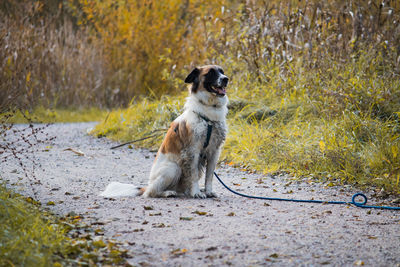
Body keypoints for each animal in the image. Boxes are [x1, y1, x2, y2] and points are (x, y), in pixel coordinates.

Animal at [101, 65, 228, 199]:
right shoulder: (193, 151)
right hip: (173, 168)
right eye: (210, 73)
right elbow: (193, 176)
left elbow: (209, 176)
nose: (226, 79)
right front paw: (196, 193)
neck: (209, 114)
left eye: (222, 72)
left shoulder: (214, 151)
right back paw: (168, 193)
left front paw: (208, 191)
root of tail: (148, 184)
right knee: (150, 192)